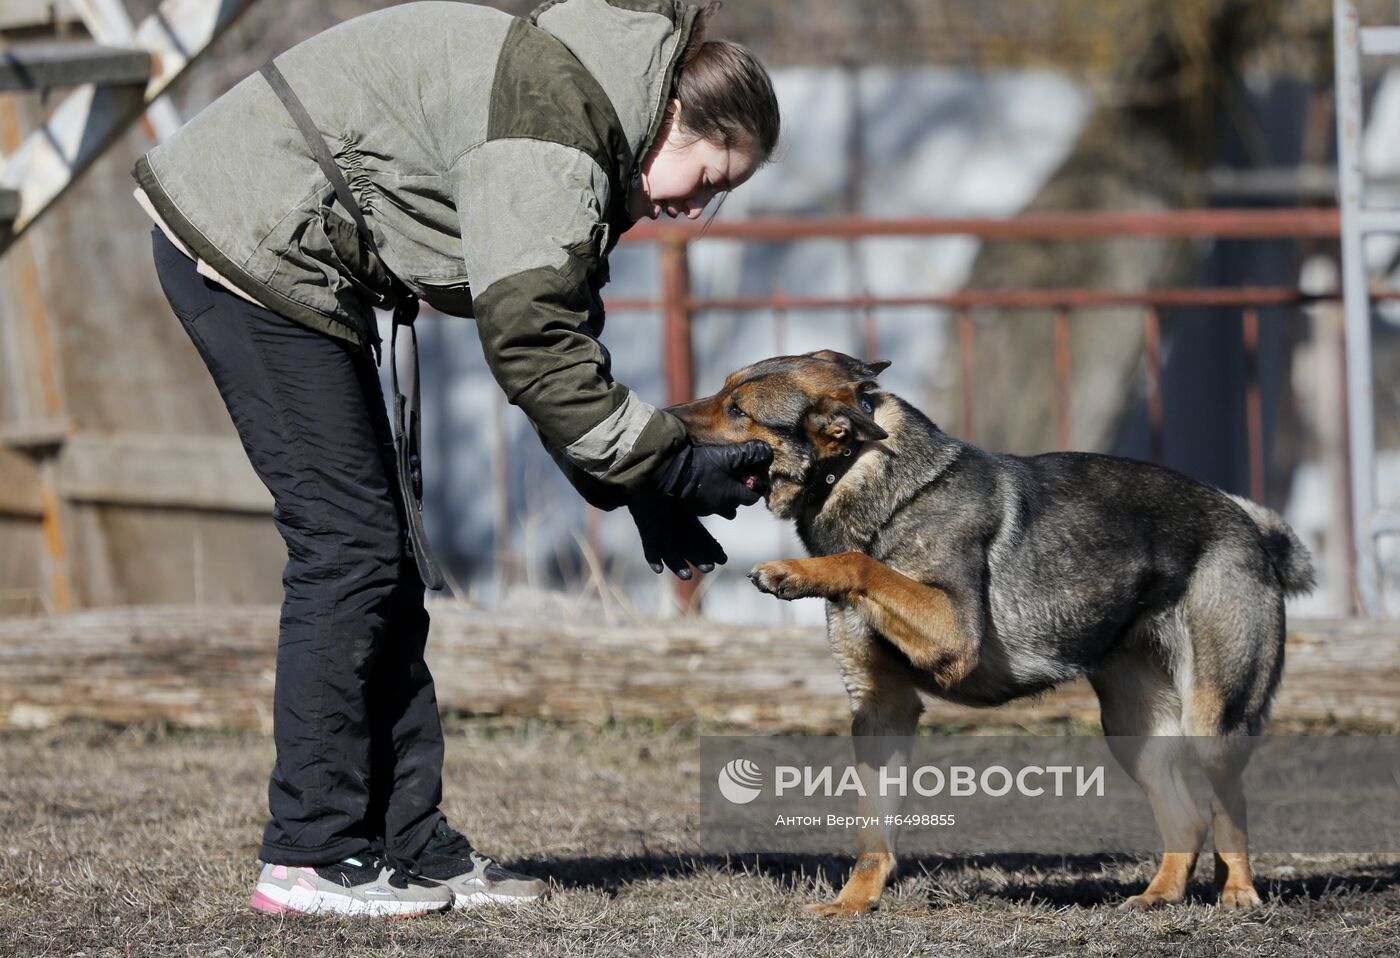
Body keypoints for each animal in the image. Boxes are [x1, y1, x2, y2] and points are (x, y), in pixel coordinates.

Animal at [672, 350, 1316, 913]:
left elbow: (862, 563)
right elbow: (872, 832)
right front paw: (854, 904)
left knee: (1229, 806)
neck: (862, 472)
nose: (667, 421)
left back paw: (1239, 894)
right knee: (1188, 817)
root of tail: (1250, 524)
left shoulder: (952, 631)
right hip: (1134, 729)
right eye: (722, 393)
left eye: (737, 410)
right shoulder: (881, 710)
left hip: (1213, 719)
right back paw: (1159, 897)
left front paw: (794, 572)